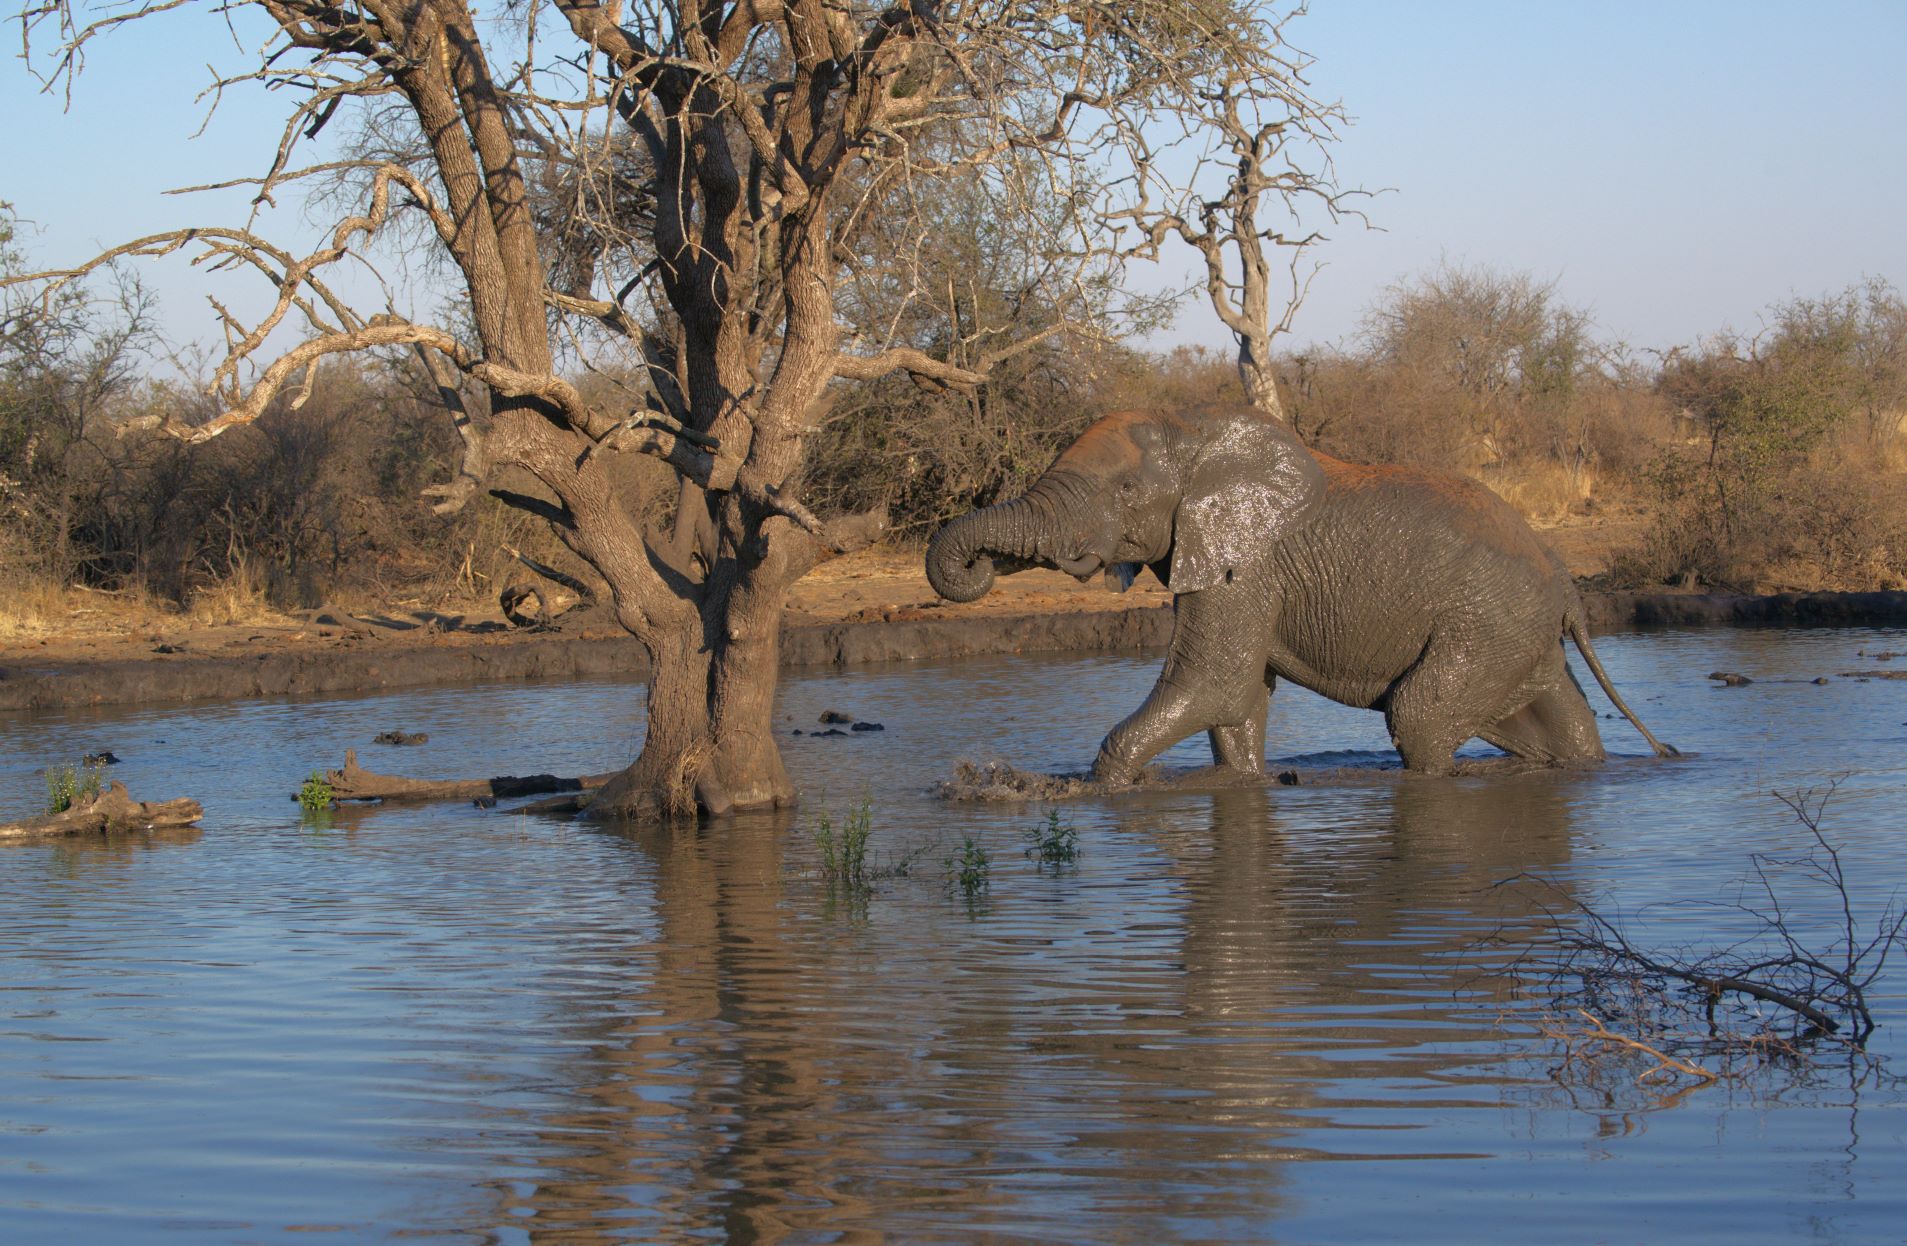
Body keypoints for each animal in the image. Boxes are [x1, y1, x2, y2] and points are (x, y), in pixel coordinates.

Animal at [925, 405, 1676, 782]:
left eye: (1128, 490)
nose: (979, 569)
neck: (1193, 431)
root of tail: (1565, 579)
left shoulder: (1248, 566)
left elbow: (1216, 683)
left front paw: (1097, 789)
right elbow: (1237, 701)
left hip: (1487, 621)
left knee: (1419, 716)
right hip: (1516, 630)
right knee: (1560, 724)